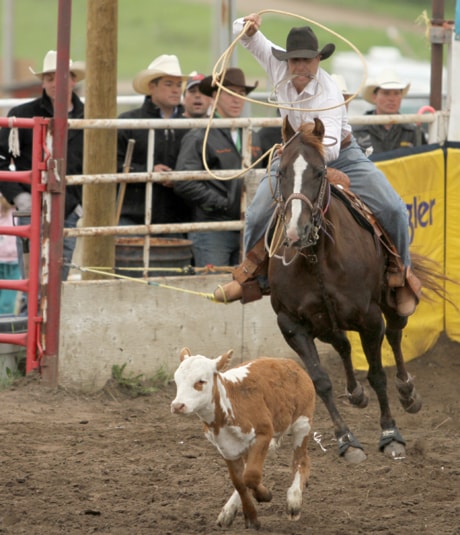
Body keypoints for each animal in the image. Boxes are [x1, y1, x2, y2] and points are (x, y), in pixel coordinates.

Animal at [170, 348, 316, 532]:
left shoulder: (263, 434)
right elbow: (239, 482)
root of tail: (290, 364)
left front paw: (265, 495)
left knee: (301, 460)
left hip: (302, 423)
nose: (177, 406)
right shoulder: (226, 447)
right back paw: (228, 512)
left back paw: (294, 501)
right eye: (177, 380)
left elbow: (251, 476)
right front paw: (251, 516)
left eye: (201, 381)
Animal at [270, 118, 424, 464]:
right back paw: (355, 394)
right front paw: (346, 439)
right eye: (281, 172)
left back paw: (408, 392)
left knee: (395, 333)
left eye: (319, 172)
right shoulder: (291, 324)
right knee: (341, 344)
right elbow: (321, 381)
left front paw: (390, 434)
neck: (316, 256)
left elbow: (377, 374)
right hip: (325, 323)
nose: (295, 233)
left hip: (392, 299)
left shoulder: (369, 319)